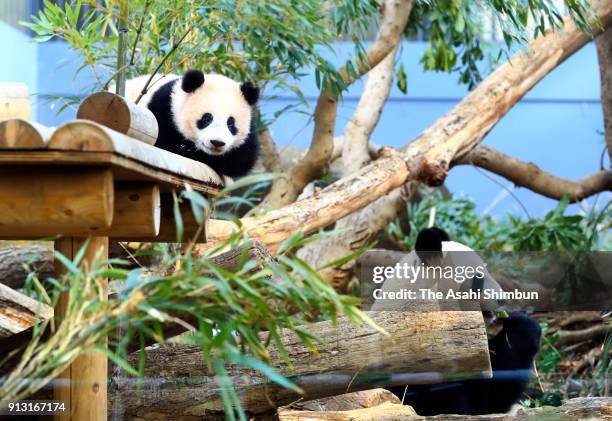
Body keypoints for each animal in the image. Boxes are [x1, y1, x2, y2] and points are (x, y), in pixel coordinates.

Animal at [125, 69, 260, 178]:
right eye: (207, 119)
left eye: (231, 123)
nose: (217, 142)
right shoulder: (163, 110)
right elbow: (162, 143)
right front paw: (185, 149)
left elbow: (241, 160)